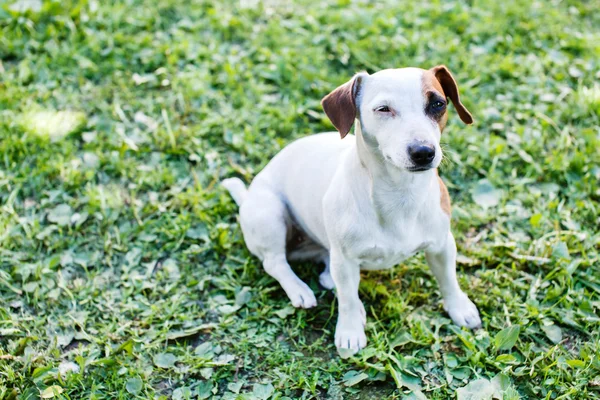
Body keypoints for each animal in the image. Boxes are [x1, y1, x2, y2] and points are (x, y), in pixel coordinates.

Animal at [223, 65, 480, 356]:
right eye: (383, 109)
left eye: (438, 104)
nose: (423, 151)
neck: (400, 192)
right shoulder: (345, 260)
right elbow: (345, 299)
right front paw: (349, 331)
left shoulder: (442, 245)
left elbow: (448, 279)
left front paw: (459, 307)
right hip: (269, 214)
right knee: (275, 262)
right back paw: (300, 290)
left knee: (326, 267)